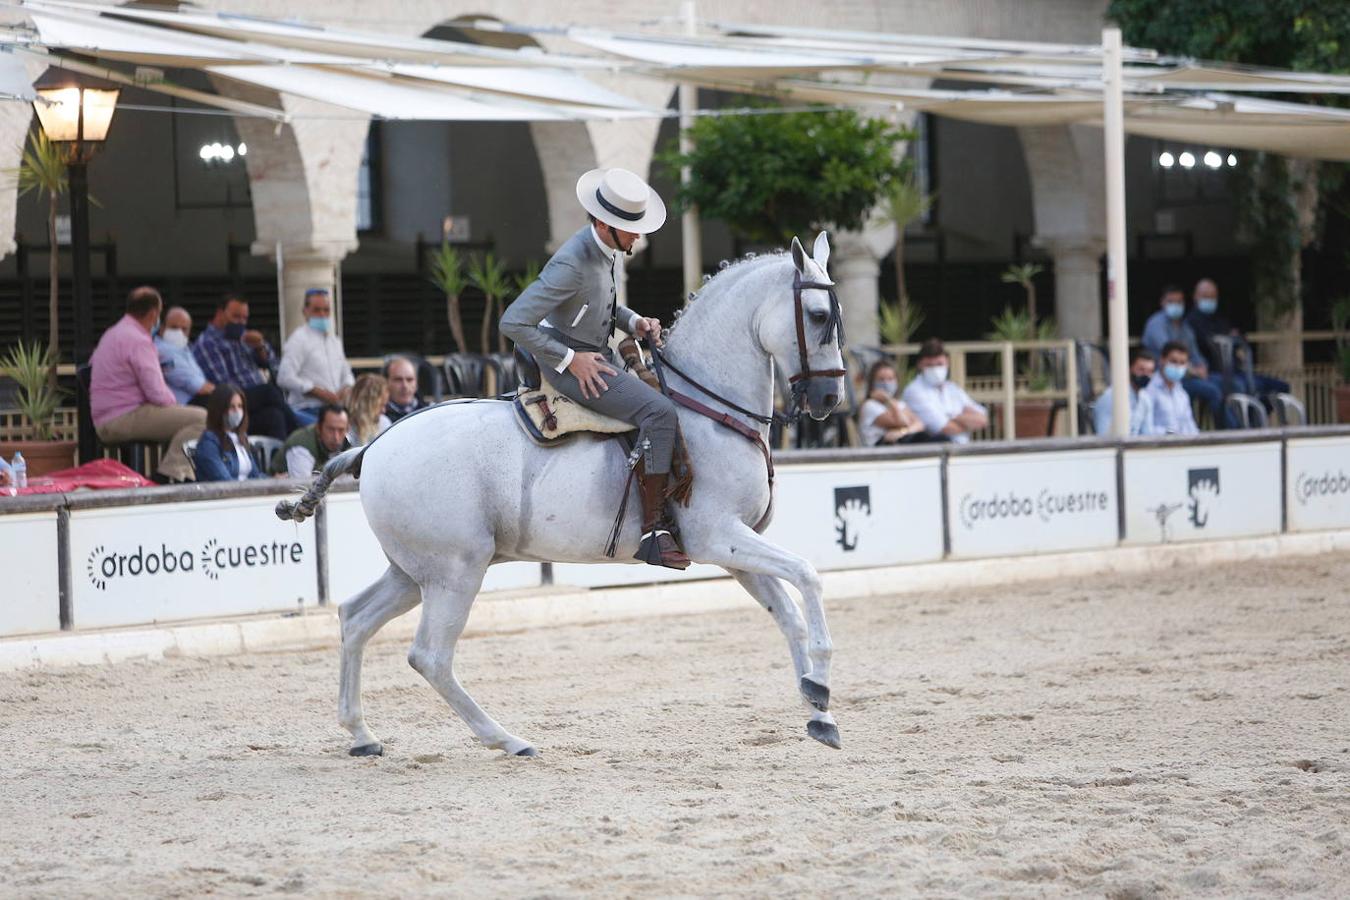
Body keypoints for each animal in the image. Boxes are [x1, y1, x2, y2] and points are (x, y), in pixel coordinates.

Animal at [275, 230, 842, 755]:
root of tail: (374, 445)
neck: (708, 408)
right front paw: (820, 686)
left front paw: (819, 711)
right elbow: (809, 576)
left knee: (355, 619)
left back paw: (361, 733)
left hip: (414, 572)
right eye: (817, 316)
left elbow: (789, 616)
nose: (830, 398)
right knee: (430, 656)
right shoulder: (719, 536)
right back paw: (505, 738)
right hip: (456, 572)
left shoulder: (734, 551)